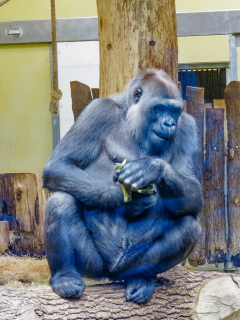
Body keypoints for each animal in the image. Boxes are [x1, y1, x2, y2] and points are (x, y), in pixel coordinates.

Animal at [43, 69, 202, 304]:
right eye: (160, 108)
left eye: (174, 111)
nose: (169, 124)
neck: (131, 116)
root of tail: (113, 272)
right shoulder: (98, 110)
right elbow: (60, 165)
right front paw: (128, 200)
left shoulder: (189, 126)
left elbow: (194, 192)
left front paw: (152, 167)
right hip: (94, 266)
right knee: (60, 200)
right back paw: (64, 276)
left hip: (129, 264)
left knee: (189, 228)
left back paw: (141, 278)